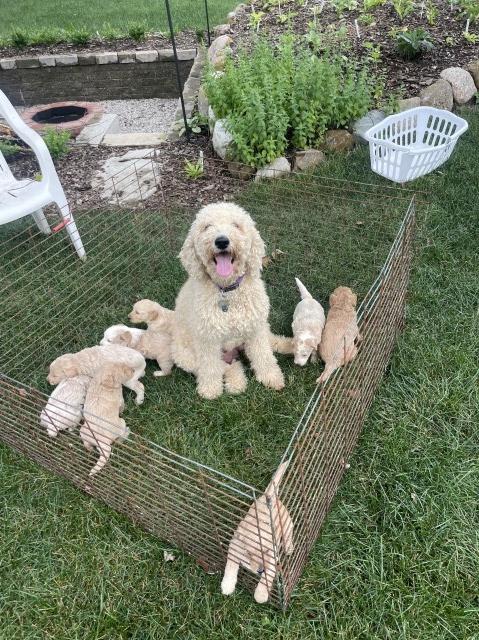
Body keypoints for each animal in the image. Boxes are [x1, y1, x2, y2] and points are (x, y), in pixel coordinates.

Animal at [220, 462, 292, 604]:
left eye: (266, 552)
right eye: (248, 553)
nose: (260, 570)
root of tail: (269, 495)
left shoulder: (272, 557)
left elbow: (267, 577)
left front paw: (260, 595)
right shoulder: (234, 545)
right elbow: (231, 565)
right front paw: (227, 586)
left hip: (286, 523)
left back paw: (289, 548)